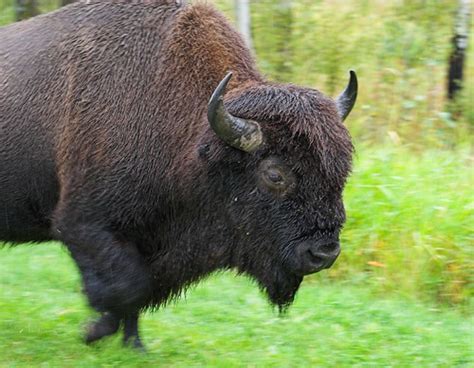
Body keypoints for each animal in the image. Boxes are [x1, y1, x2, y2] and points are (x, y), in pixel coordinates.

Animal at [0, 0, 356, 350]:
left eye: (342, 171)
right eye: (274, 174)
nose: (324, 253)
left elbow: (140, 292)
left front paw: (134, 345)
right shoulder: (83, 225)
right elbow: (126, 286)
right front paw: (93, 331)